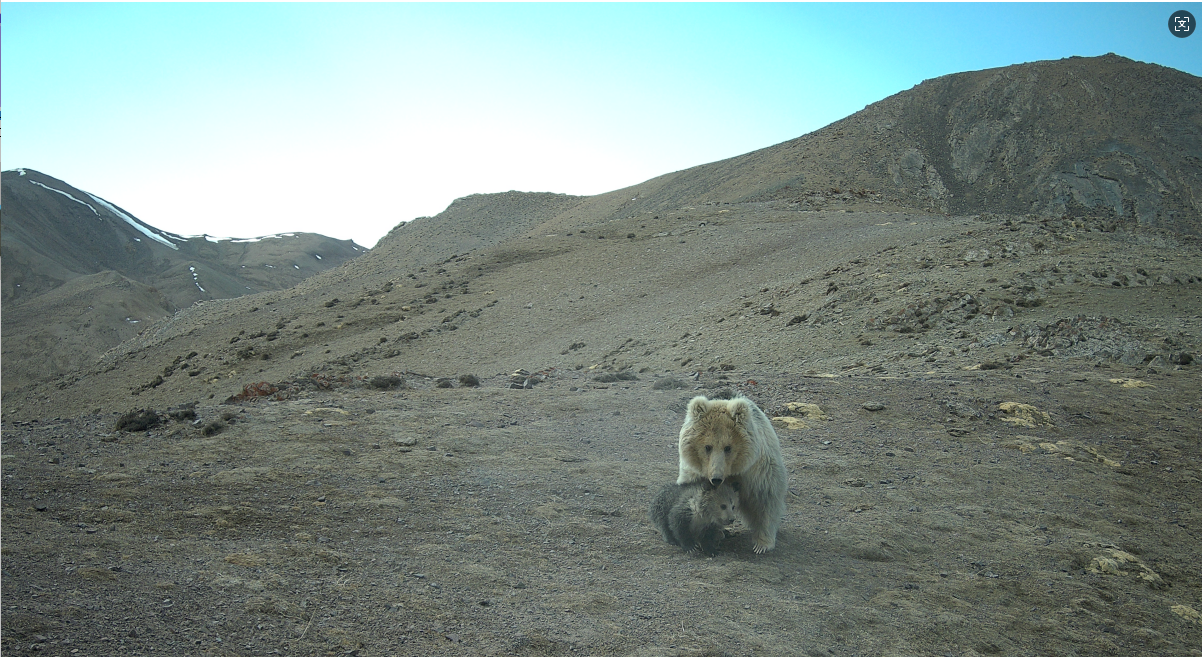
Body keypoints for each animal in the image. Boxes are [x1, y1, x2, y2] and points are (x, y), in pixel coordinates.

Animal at [677, 395, 788, 553]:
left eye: (727, 447)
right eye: (707, 446)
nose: (716, 479)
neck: (731, 471)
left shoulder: (756, 471)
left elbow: (765, 499)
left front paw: (761, 544)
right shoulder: (695, 473)